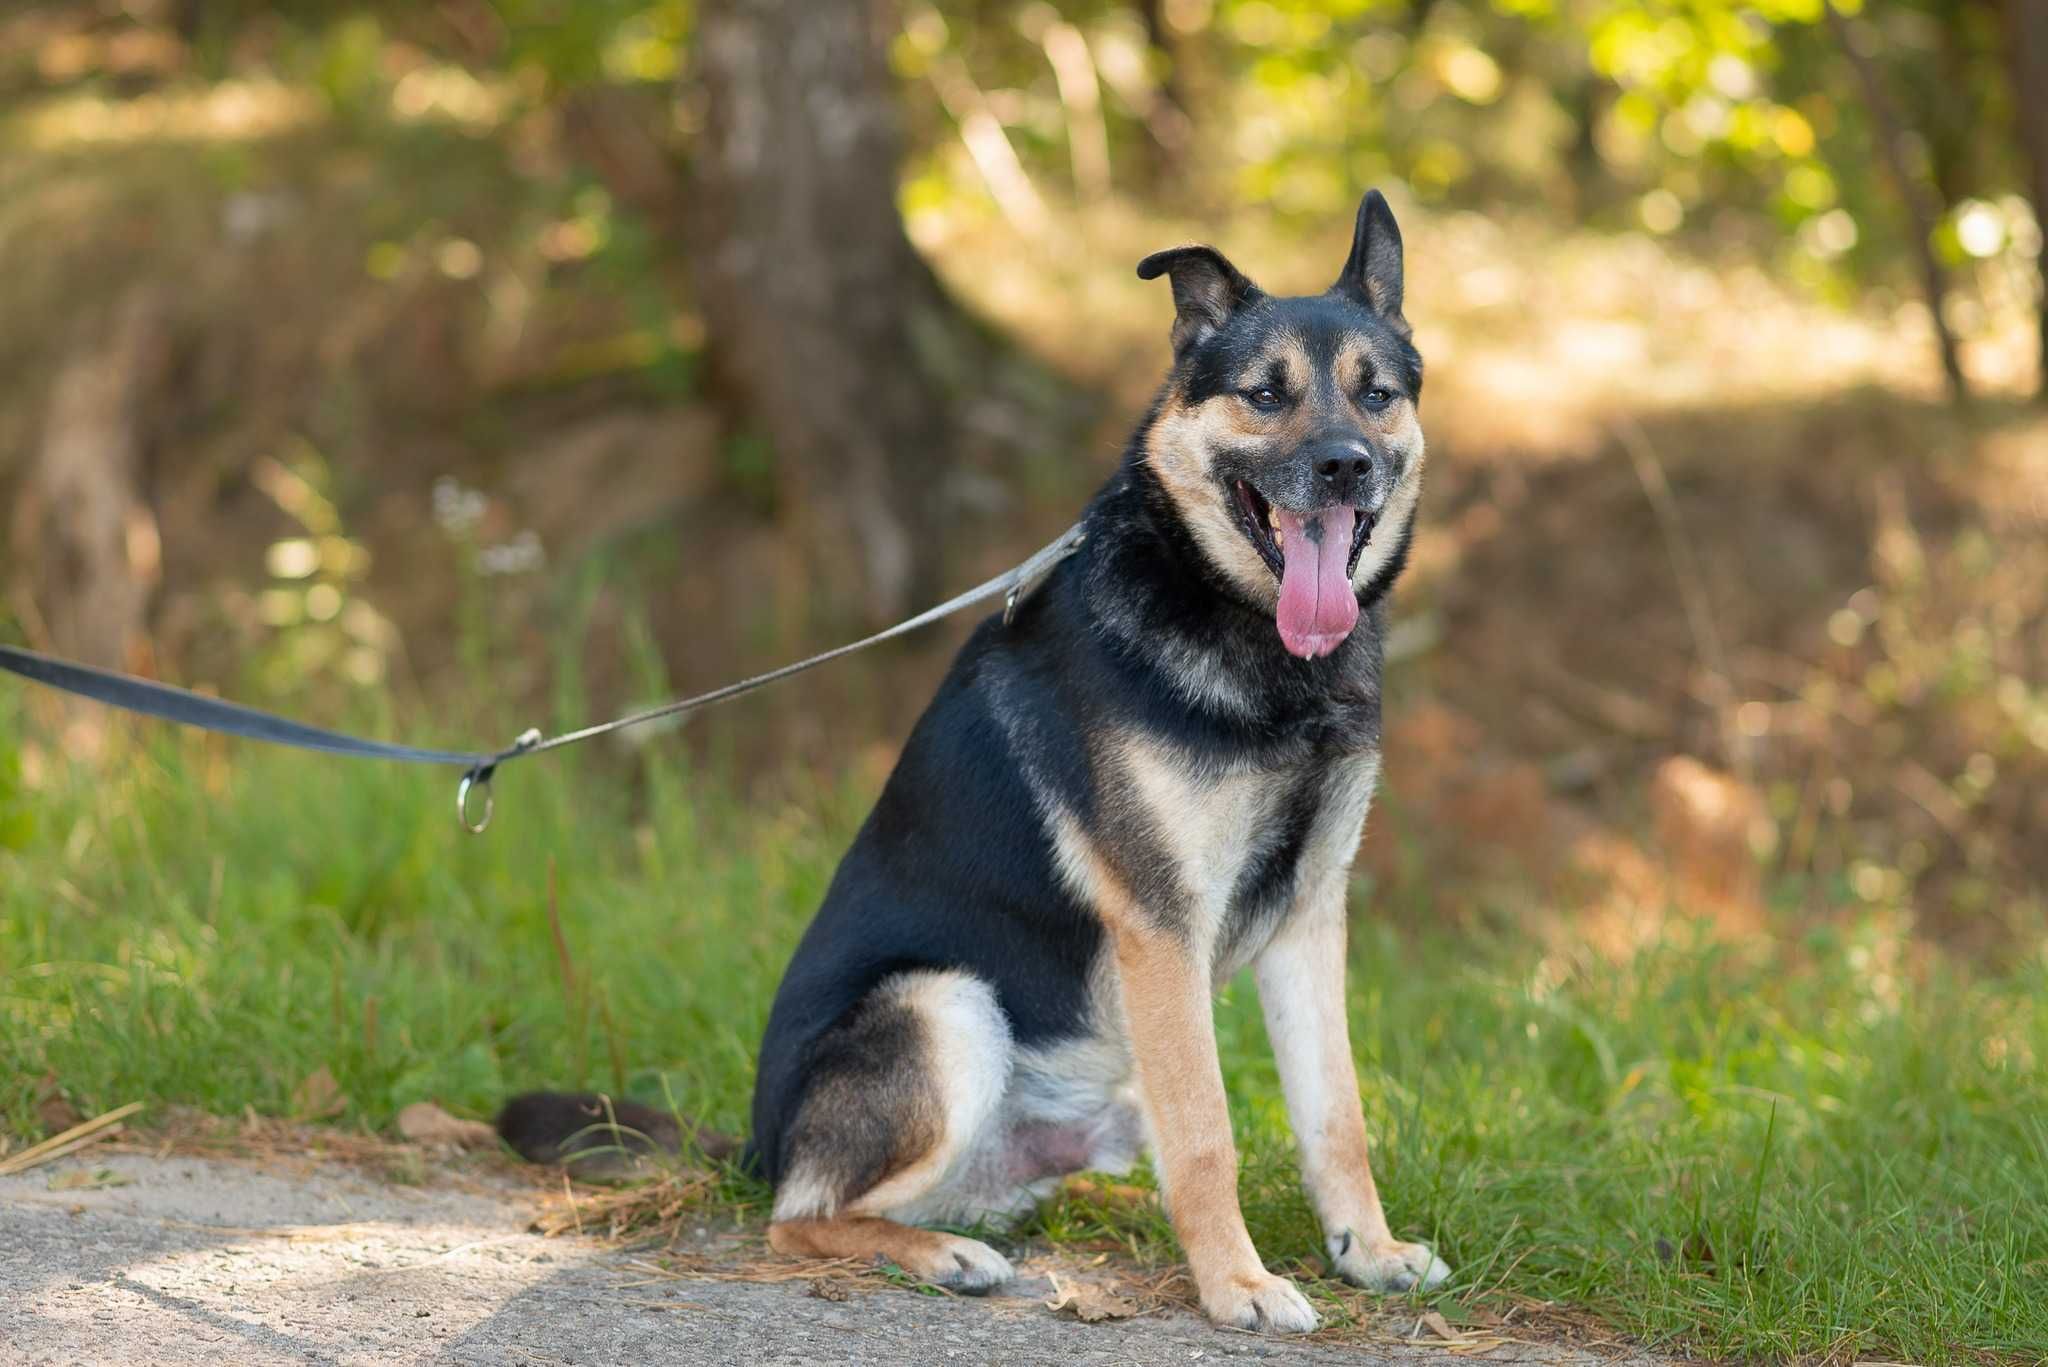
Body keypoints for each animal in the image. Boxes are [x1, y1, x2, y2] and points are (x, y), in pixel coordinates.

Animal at [503, 192, 1449, 1336]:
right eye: (1265, 395)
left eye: (1375, 393)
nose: (1345, 464)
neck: (1251, 642)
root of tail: (759, 1143)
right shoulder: (1162, 928)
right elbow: (1208, 1132)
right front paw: (1238, 1282)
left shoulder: (1308, 918)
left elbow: (1334, 1114)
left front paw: (1366, 1251)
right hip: (944, 1006)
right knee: (797, 1215)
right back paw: (941, 1252)